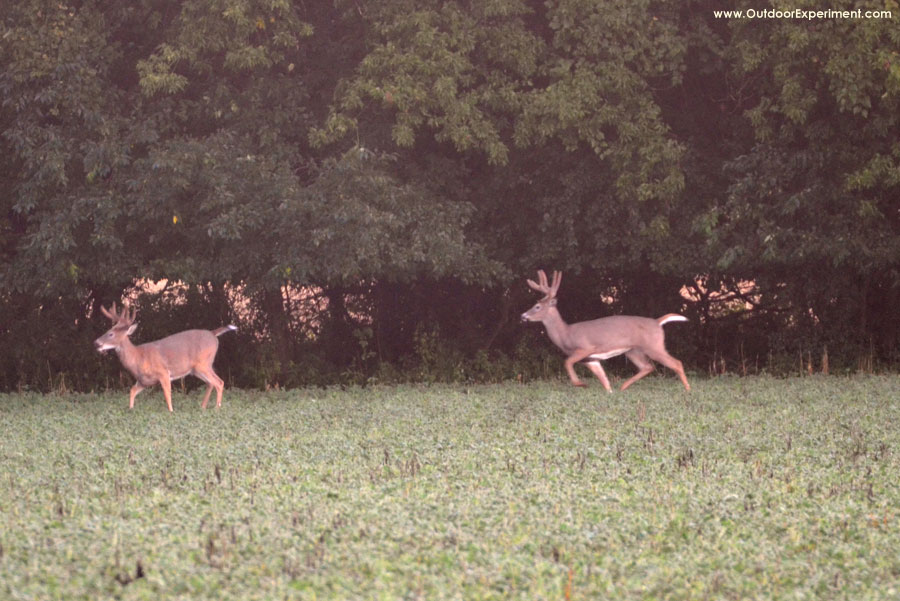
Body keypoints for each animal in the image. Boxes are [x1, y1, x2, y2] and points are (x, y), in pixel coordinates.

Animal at [94, 302, 237, 412]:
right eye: (107, 331)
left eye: (110, 334)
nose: (96, 342)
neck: (138, 357)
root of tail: (213, 334)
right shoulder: (144, 381)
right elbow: (132, 391)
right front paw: (131, 410)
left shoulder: (163, 372)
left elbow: (167, 395)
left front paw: (171, 412)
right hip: (196, 369)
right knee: (211, 383)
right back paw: (202, 407)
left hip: (203, 364)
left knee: (219, 382)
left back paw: (217, 409)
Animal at [521, 270, 690, 392]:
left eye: (537, 306)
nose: (523, 315)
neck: (565, 334)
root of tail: (657, 322)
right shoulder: (591, 359)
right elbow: (604, 381)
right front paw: (609, 392)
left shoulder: (586, 348)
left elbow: (567, 362)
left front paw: (581, 384)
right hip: (633, 351)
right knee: (648, 367)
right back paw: (623, 388)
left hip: (653, 346)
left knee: (676, 363)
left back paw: (688, 391)